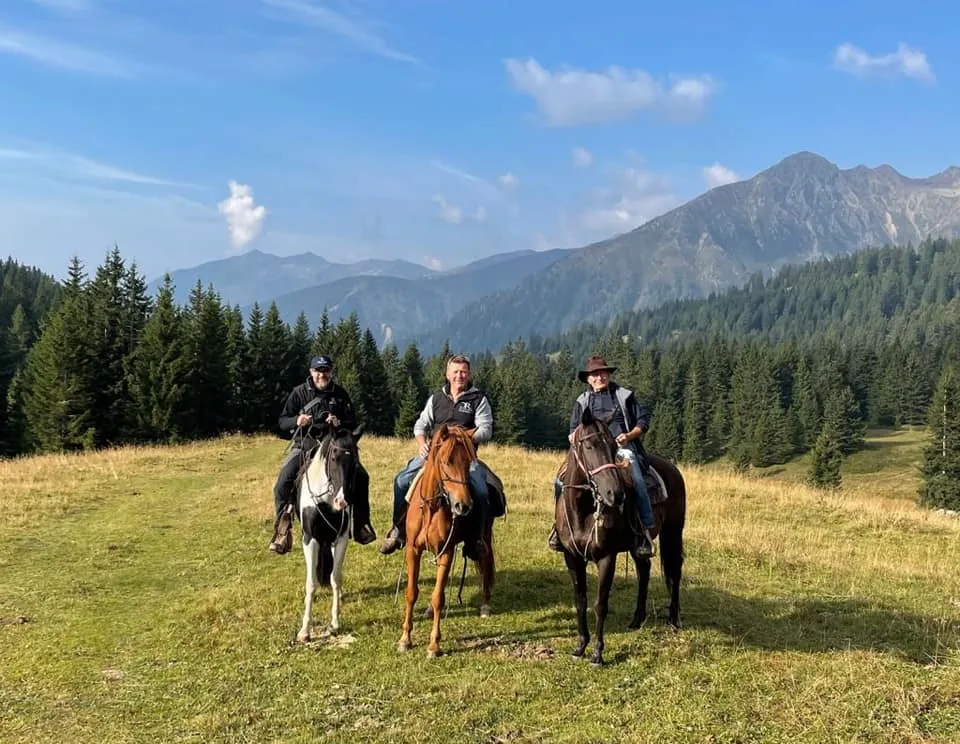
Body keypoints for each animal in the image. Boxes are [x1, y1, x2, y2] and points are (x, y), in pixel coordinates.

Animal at [294, 424, 365, 643]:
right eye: (334, 456)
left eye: (355, 462)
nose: (341, 502)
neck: (325, 499)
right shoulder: (310, 540)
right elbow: (311, 583)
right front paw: (305, 630)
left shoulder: (340, 539)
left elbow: (335, 578)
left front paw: (335, 621)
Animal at [397, 423, 499, 657]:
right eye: (446, 461)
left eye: (468, 462)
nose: (463, 505)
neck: (432, 507)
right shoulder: (413, 550)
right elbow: (411, 593)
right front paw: (405, 639)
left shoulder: (446, 552)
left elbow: (439, 598)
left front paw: (434, 645)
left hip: (485, 538)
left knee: (485, 564)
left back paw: (485, 605)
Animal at [555, 406, 687, 666]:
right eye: (588, 446)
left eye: (613, 448)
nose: (614, 494)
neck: (583, 510)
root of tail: (672, 468)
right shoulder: (571, 557)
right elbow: (581, 601)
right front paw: (580, 646)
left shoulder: (607, 557)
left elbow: (600, 604)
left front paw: (597, 653)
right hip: (640, 545)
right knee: (644, 571)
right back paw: (637, 619)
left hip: (673, 533)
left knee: (674, 572)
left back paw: (674, 619)